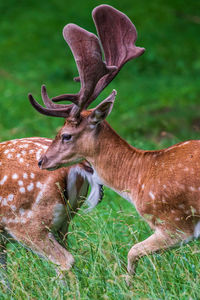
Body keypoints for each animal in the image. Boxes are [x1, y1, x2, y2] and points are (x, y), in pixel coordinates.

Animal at [27, 4, 200, 276]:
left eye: (66, 135)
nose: (42, 161)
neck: (140, 176)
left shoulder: (176, 222)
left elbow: (132, 252)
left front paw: (129, 282)